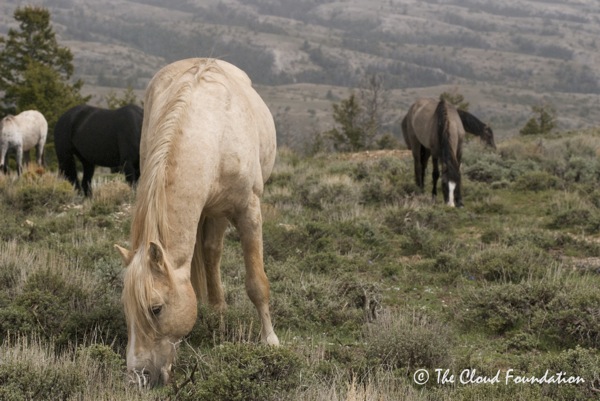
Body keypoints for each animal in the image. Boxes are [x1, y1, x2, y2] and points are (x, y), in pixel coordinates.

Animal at [117, 57, 282, 386]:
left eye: (156, 309)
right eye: (127, 310)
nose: (138, 378)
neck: (213, 133)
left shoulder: (248, 212)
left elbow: (257, 283)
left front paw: (270, 340)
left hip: (218, 212)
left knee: (211, 253)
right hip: (212, 212)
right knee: (210, 256)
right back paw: (217, 317)